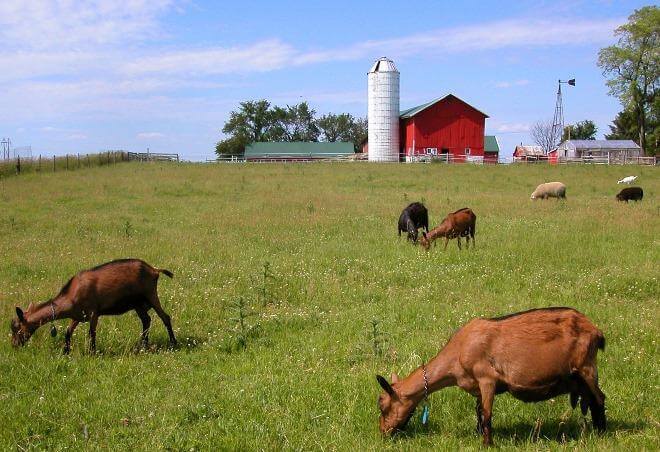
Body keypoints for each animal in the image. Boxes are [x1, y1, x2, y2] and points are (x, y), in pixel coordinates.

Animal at [10, 258, 175, 354]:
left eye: (17, 328)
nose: (14, 346)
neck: (71, 296)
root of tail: (154, 270)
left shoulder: (93, 313)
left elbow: (91, 333)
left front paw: (92, 353)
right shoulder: (77, 316)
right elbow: (68, 332)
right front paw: (65, 352)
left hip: (151, 295)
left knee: (165, 317)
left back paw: (173, 343)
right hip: (138, 304)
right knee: (146, 320)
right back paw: (143, 346)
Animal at [378, 308, 604, 444]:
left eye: (383, 406)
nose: (383, 432)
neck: (458, 352)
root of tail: (596, 331)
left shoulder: (487, 379)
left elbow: (487, 415)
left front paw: (488, 443)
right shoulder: (476, 386)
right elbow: (478, 412)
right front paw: (478, 436)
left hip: (586, 367)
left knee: (600, 398)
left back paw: (601, 432)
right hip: (578, 377)